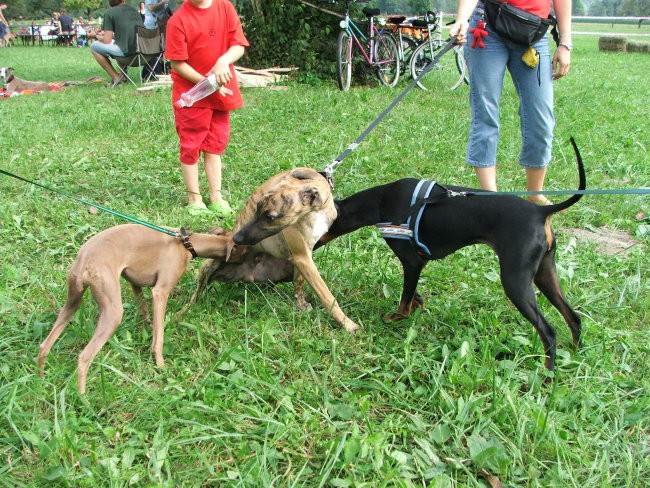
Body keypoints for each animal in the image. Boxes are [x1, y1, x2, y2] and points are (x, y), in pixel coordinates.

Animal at [314, 139, 584, 376]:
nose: (309, 245)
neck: (382, 201)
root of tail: (541, 211)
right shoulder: (417, 263)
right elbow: (412, 293)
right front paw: (418, 305)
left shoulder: (412, 262)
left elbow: (404, 300)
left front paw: (397, 318)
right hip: (544, 273)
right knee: (574, 317)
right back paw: (575, 354)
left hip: (515, 280)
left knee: (548, 331)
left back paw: (547, 376)